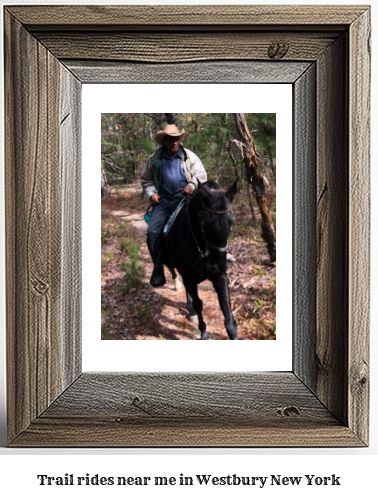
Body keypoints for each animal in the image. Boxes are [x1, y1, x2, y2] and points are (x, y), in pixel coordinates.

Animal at [163, 180, 239, 340]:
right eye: (207, 223)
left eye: (232, 221)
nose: (218, 265)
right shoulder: (190, 278)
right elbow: (198, 304)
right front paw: (203, 333)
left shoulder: (219, 276)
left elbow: (226, 307)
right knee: (174, 272)